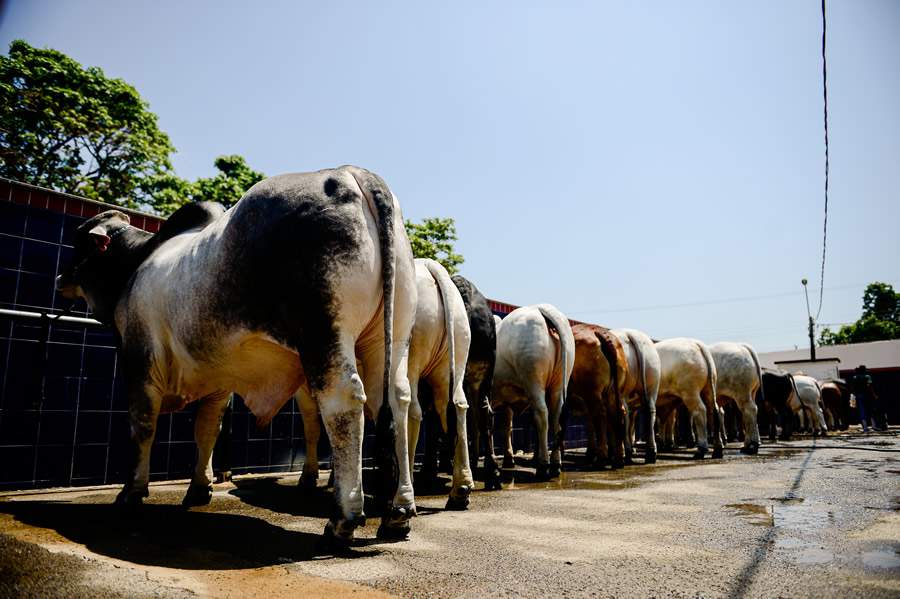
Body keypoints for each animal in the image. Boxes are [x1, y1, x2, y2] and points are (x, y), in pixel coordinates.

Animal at [488, 308, 572, 480]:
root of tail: (541, 308)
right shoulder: (506, 401)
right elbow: (506, 427)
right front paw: (508, 459)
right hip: (559, 384)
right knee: (556, 418)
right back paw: (555, 464)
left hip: (533, 380)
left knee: (542, 416)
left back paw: (543, 465)